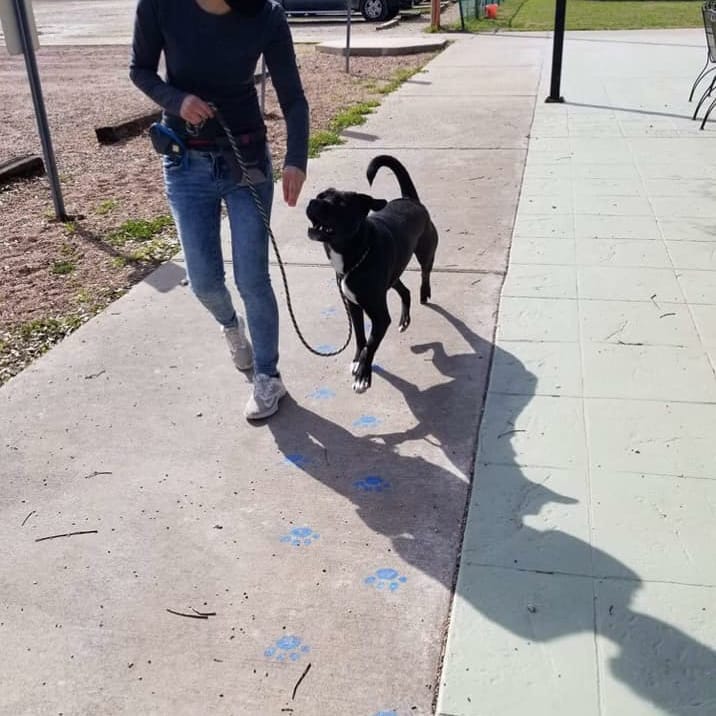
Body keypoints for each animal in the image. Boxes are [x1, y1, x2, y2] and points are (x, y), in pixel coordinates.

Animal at [304, 154, 436, 394]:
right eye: (321, 196)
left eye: (341, 204)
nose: (312, 202)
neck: (354, 254)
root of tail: (410, 199)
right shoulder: (354, 307)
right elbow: (360, 337)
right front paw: (358, 360)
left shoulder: (380, 318)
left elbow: (371, 344)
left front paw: (363, 375)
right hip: (392, 275)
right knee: (404, 290)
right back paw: (404, 319)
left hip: (425, 251)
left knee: (425, 272)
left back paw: (425, 292)